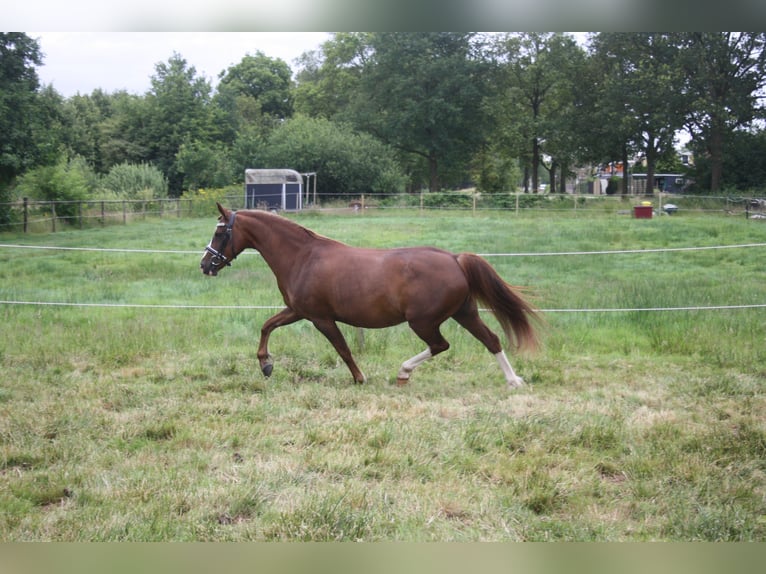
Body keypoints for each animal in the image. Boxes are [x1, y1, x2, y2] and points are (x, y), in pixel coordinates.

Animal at [202, 205, 540, 390]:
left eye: (219, 233)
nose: (205, 265)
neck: (303, 257)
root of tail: (454, 259)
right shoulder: (297, 310)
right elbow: (266, 326)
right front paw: (265, 365)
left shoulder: (321, 318)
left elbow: (343, 349)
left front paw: (360, 378)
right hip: (465, 313)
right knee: (491, 340)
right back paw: (514, 381)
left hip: (423, 321)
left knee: (440, 345)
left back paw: (403, 372)